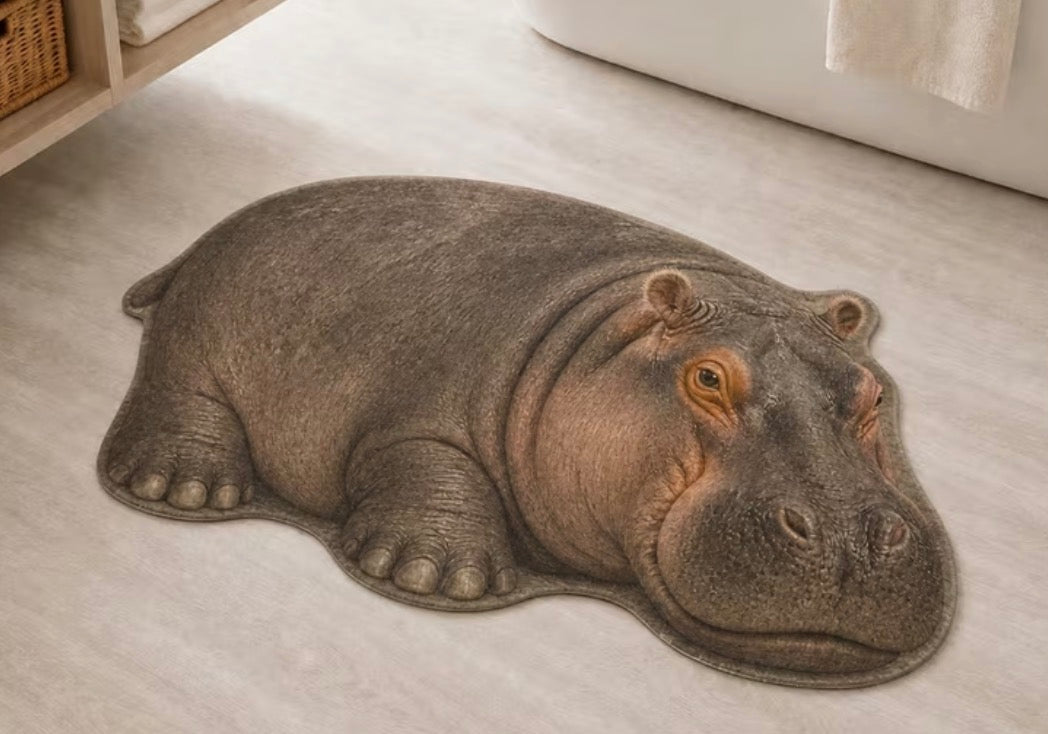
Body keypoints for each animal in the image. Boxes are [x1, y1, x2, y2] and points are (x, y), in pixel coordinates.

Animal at [98, 177, 955, 688]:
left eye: (874, 392)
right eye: (708, 378)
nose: (848, 542)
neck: (609, 334)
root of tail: (205, 236)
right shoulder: (419, 407)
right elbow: (426, 458)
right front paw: (437, 579)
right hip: (196, 340)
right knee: (178, 397)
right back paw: (185, 490)